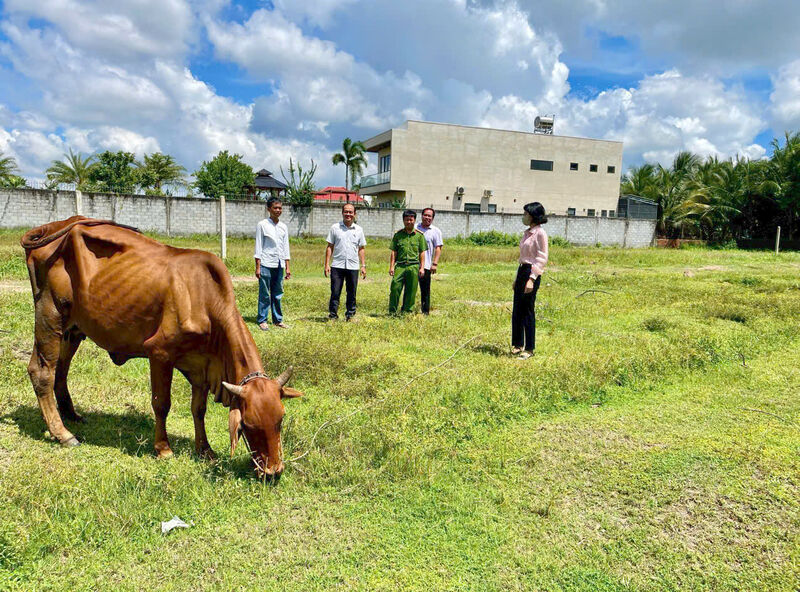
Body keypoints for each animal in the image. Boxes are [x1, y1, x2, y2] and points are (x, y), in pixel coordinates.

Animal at [22, 216, 304, 476]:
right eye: (248, 424)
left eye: (280, 420)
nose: (273, 471)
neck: (204, 298)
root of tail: (54, 226)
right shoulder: (159, 354)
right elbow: (161, 403)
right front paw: (163, 448)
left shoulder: (202, 366)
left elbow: (198, 409)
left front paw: (205, 450)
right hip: (50, 314)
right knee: (42, 371)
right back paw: (62, 433)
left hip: (73, 329)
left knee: (61, 370)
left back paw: (71, 415)